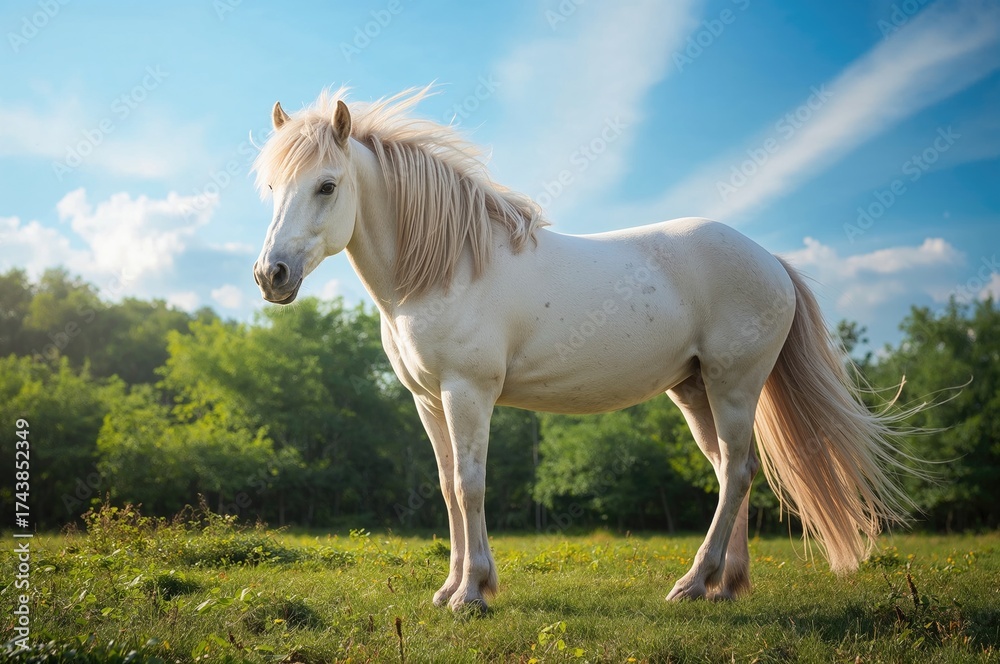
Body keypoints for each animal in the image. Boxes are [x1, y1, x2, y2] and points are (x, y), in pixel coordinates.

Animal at [251, 87, 922, 611]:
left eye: (327, 186)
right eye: (272, 187)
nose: (271, 275)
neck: (445, 267)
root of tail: (771, 260)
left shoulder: (468, 393)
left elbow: (471, 485)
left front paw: (473, 593)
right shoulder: (428, 400)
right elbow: (446, 488)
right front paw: (449, 589)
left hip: (734, 387)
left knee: (736, 471)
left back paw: (692, 583)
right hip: (695, 391)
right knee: (730, 472)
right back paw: (723, 586)